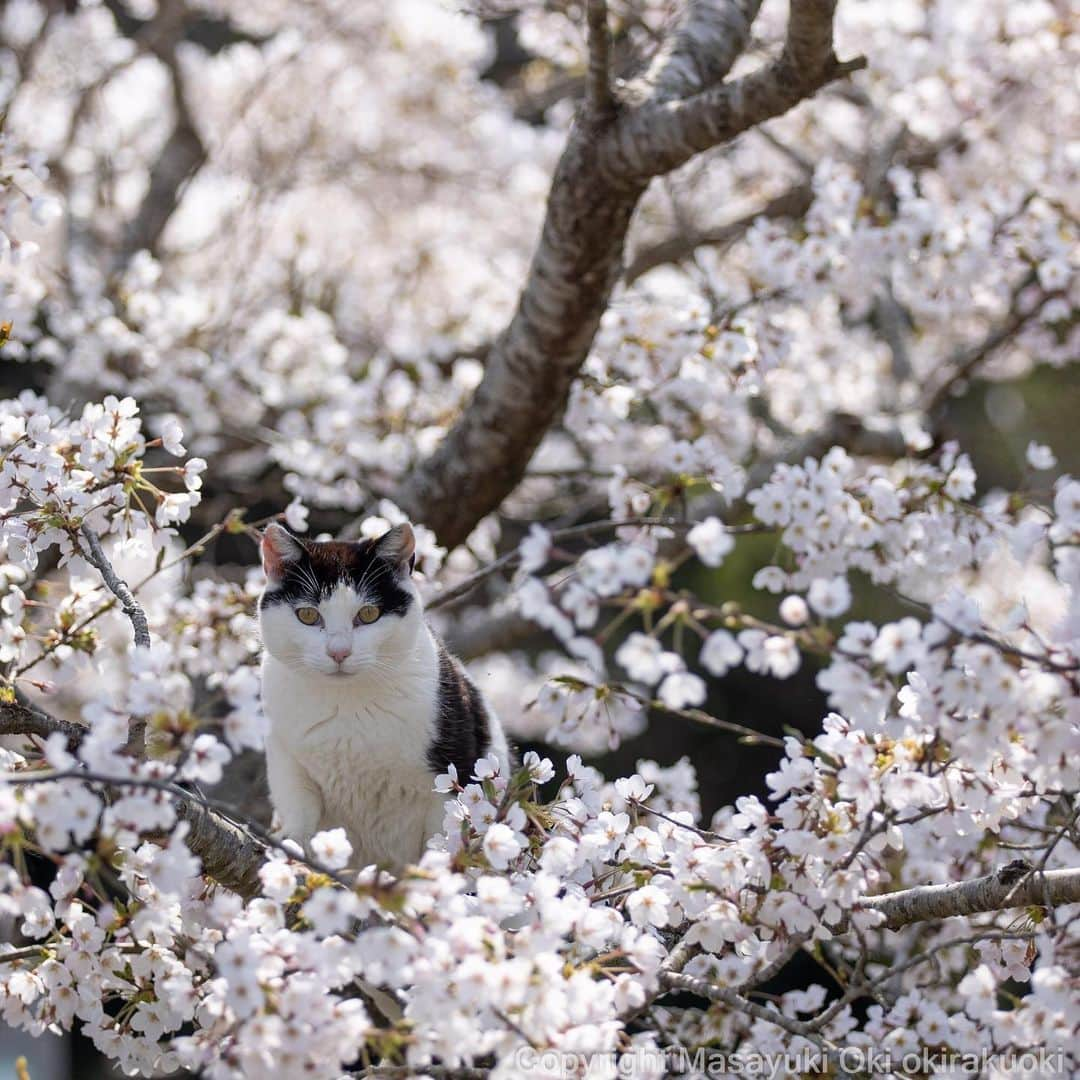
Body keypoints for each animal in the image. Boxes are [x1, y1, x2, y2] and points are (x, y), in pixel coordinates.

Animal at [255, 520, 509, 868]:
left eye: (368, 614)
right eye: (307, 615)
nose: (339, 651)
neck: (345, 706)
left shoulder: (454, 766)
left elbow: (442, 832)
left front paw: (436, 870)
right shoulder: (286, 759)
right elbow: (299, 807)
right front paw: (292, 850)